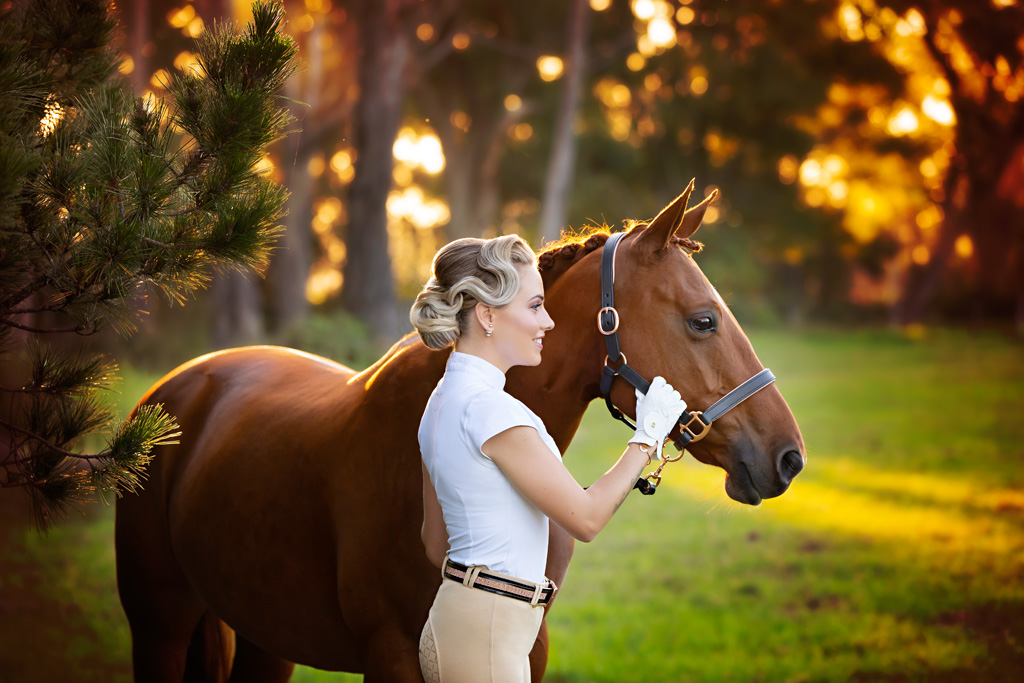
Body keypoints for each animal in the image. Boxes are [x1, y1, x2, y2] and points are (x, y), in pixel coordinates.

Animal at [117, 183, 806, 683]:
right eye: (703, 320)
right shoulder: (394, 658)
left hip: (267, 636)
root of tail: (183, 384)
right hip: (159, 625)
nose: (789, 457)